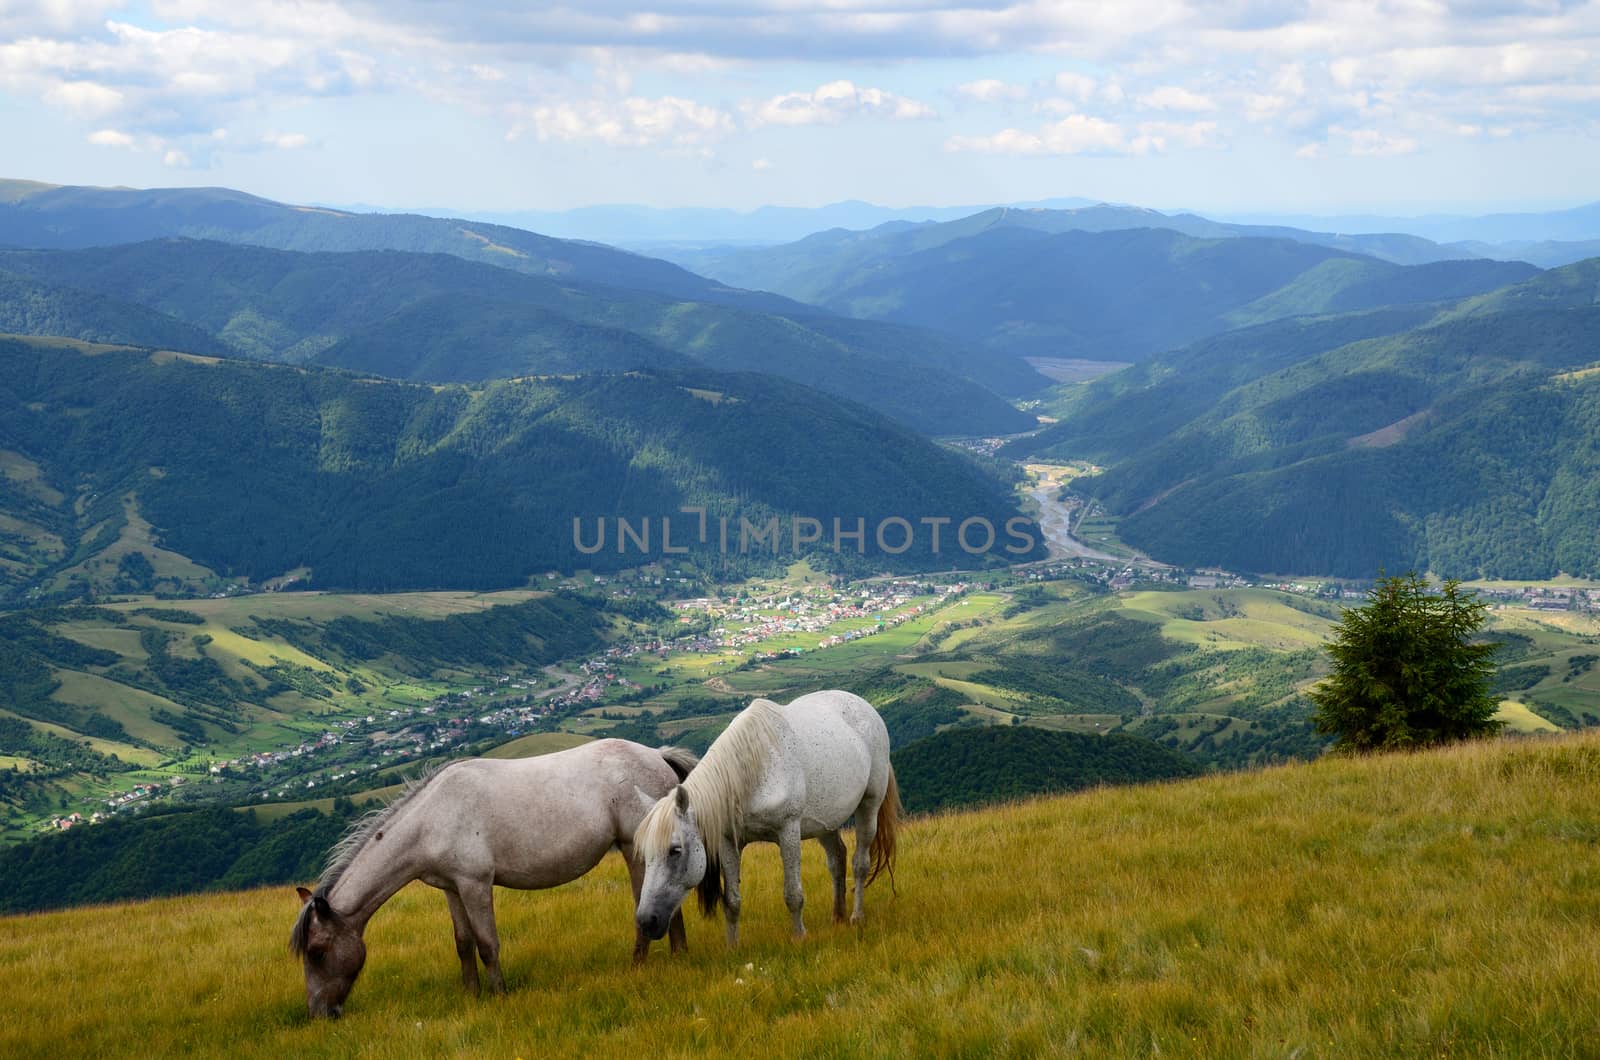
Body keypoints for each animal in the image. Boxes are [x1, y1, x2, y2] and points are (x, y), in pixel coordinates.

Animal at [289, 739, 700, 1024]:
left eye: (318, 952)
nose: (320, 1014)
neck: (431, 819)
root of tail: (657, 755)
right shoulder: (452, 888)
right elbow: (463, 943)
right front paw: (472, 996)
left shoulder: (475, 884)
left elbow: (487, 944)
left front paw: (499, 995)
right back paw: (679, 955)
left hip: (634, 849)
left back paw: (639, 964)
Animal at [630, 694, 902, 947]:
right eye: (645, 855)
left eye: (675, 850)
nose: (646, 921)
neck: (752, 770)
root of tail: (865, 706)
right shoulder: (729, 842)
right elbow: (732, 900)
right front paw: (733, 947)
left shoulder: (788, 831)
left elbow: (793, 894)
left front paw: (799, 937)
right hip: (826, 821)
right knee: (837, 859)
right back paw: (838, 917)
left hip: (869, 806)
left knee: (860, 863)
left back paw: (856, 917)